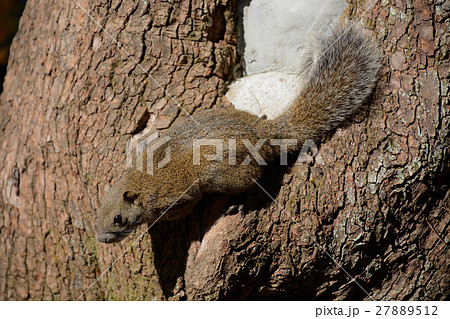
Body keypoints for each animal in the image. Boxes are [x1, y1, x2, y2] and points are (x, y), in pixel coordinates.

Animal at [97, 23, 380, 244]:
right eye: (99, 212)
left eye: (118, 218)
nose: (101, 239)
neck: (141, 182)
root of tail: (263, 134)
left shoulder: (177, 199)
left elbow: (182, 209)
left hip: (227, 174)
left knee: (255, 181)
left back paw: (242, 202)